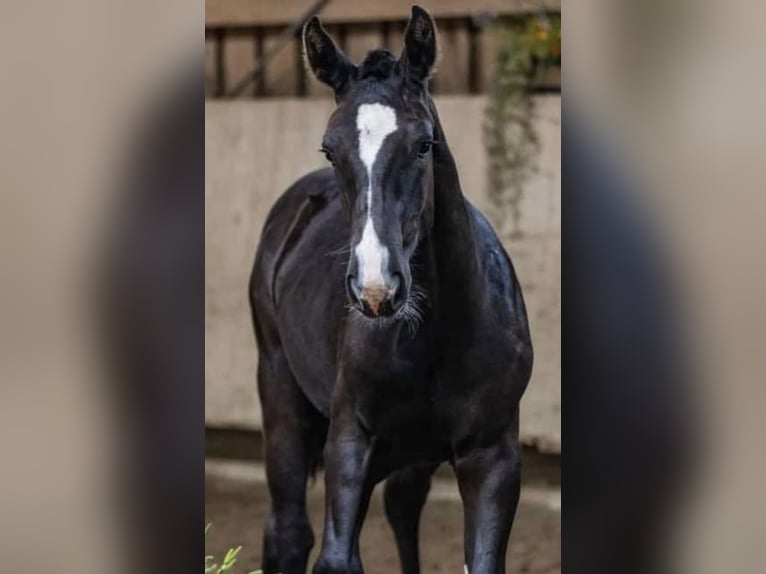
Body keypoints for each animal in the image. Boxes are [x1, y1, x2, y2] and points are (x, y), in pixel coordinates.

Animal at [252, 5, 536, 574]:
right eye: (330, 149)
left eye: (424, 143)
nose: (376, 288)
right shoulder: (350, 443)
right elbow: (336, 557)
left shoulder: (493, 456)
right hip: (280, 394)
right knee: (288, 533)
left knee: (401, 511)